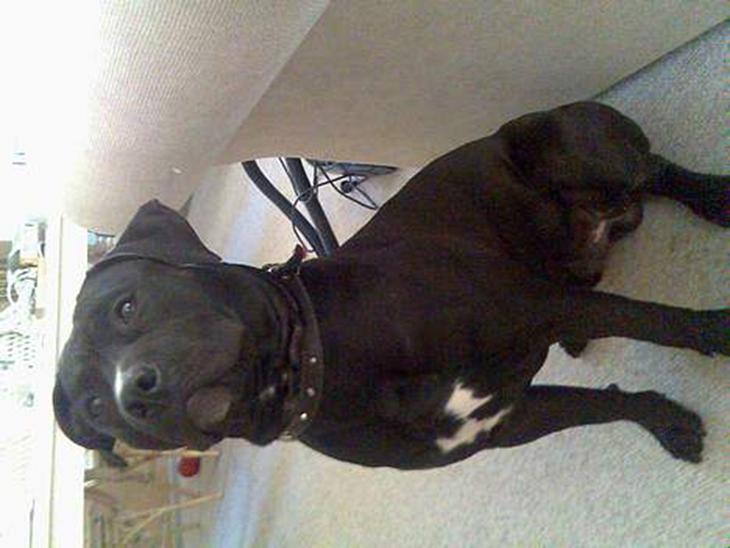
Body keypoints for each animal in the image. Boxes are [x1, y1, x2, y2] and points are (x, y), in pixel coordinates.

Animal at [54, 102, 728, 469]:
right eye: (94, 407)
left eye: (126, 307)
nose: (133, 396)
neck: (328, 358)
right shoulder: (510, 419)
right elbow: (607, 403)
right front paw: (665, 421)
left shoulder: (539, 307)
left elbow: (659, 321)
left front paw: (718, 330)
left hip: (561, 147)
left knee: (654, 171)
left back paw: (712, 195)